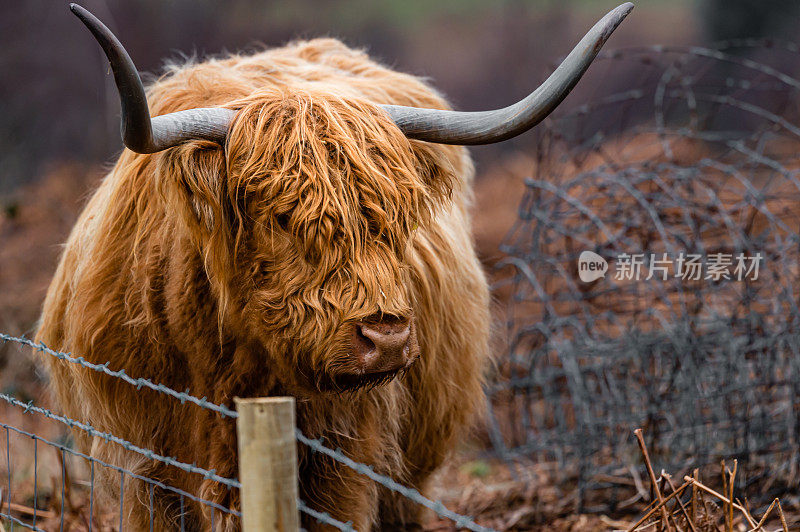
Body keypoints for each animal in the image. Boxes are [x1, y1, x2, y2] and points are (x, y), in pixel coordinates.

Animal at [36, 3, 632, 528]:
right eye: (279, 217)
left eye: (398, 218)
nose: (386, 337)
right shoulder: (145, 470)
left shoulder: (341, 462)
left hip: (411, 468)